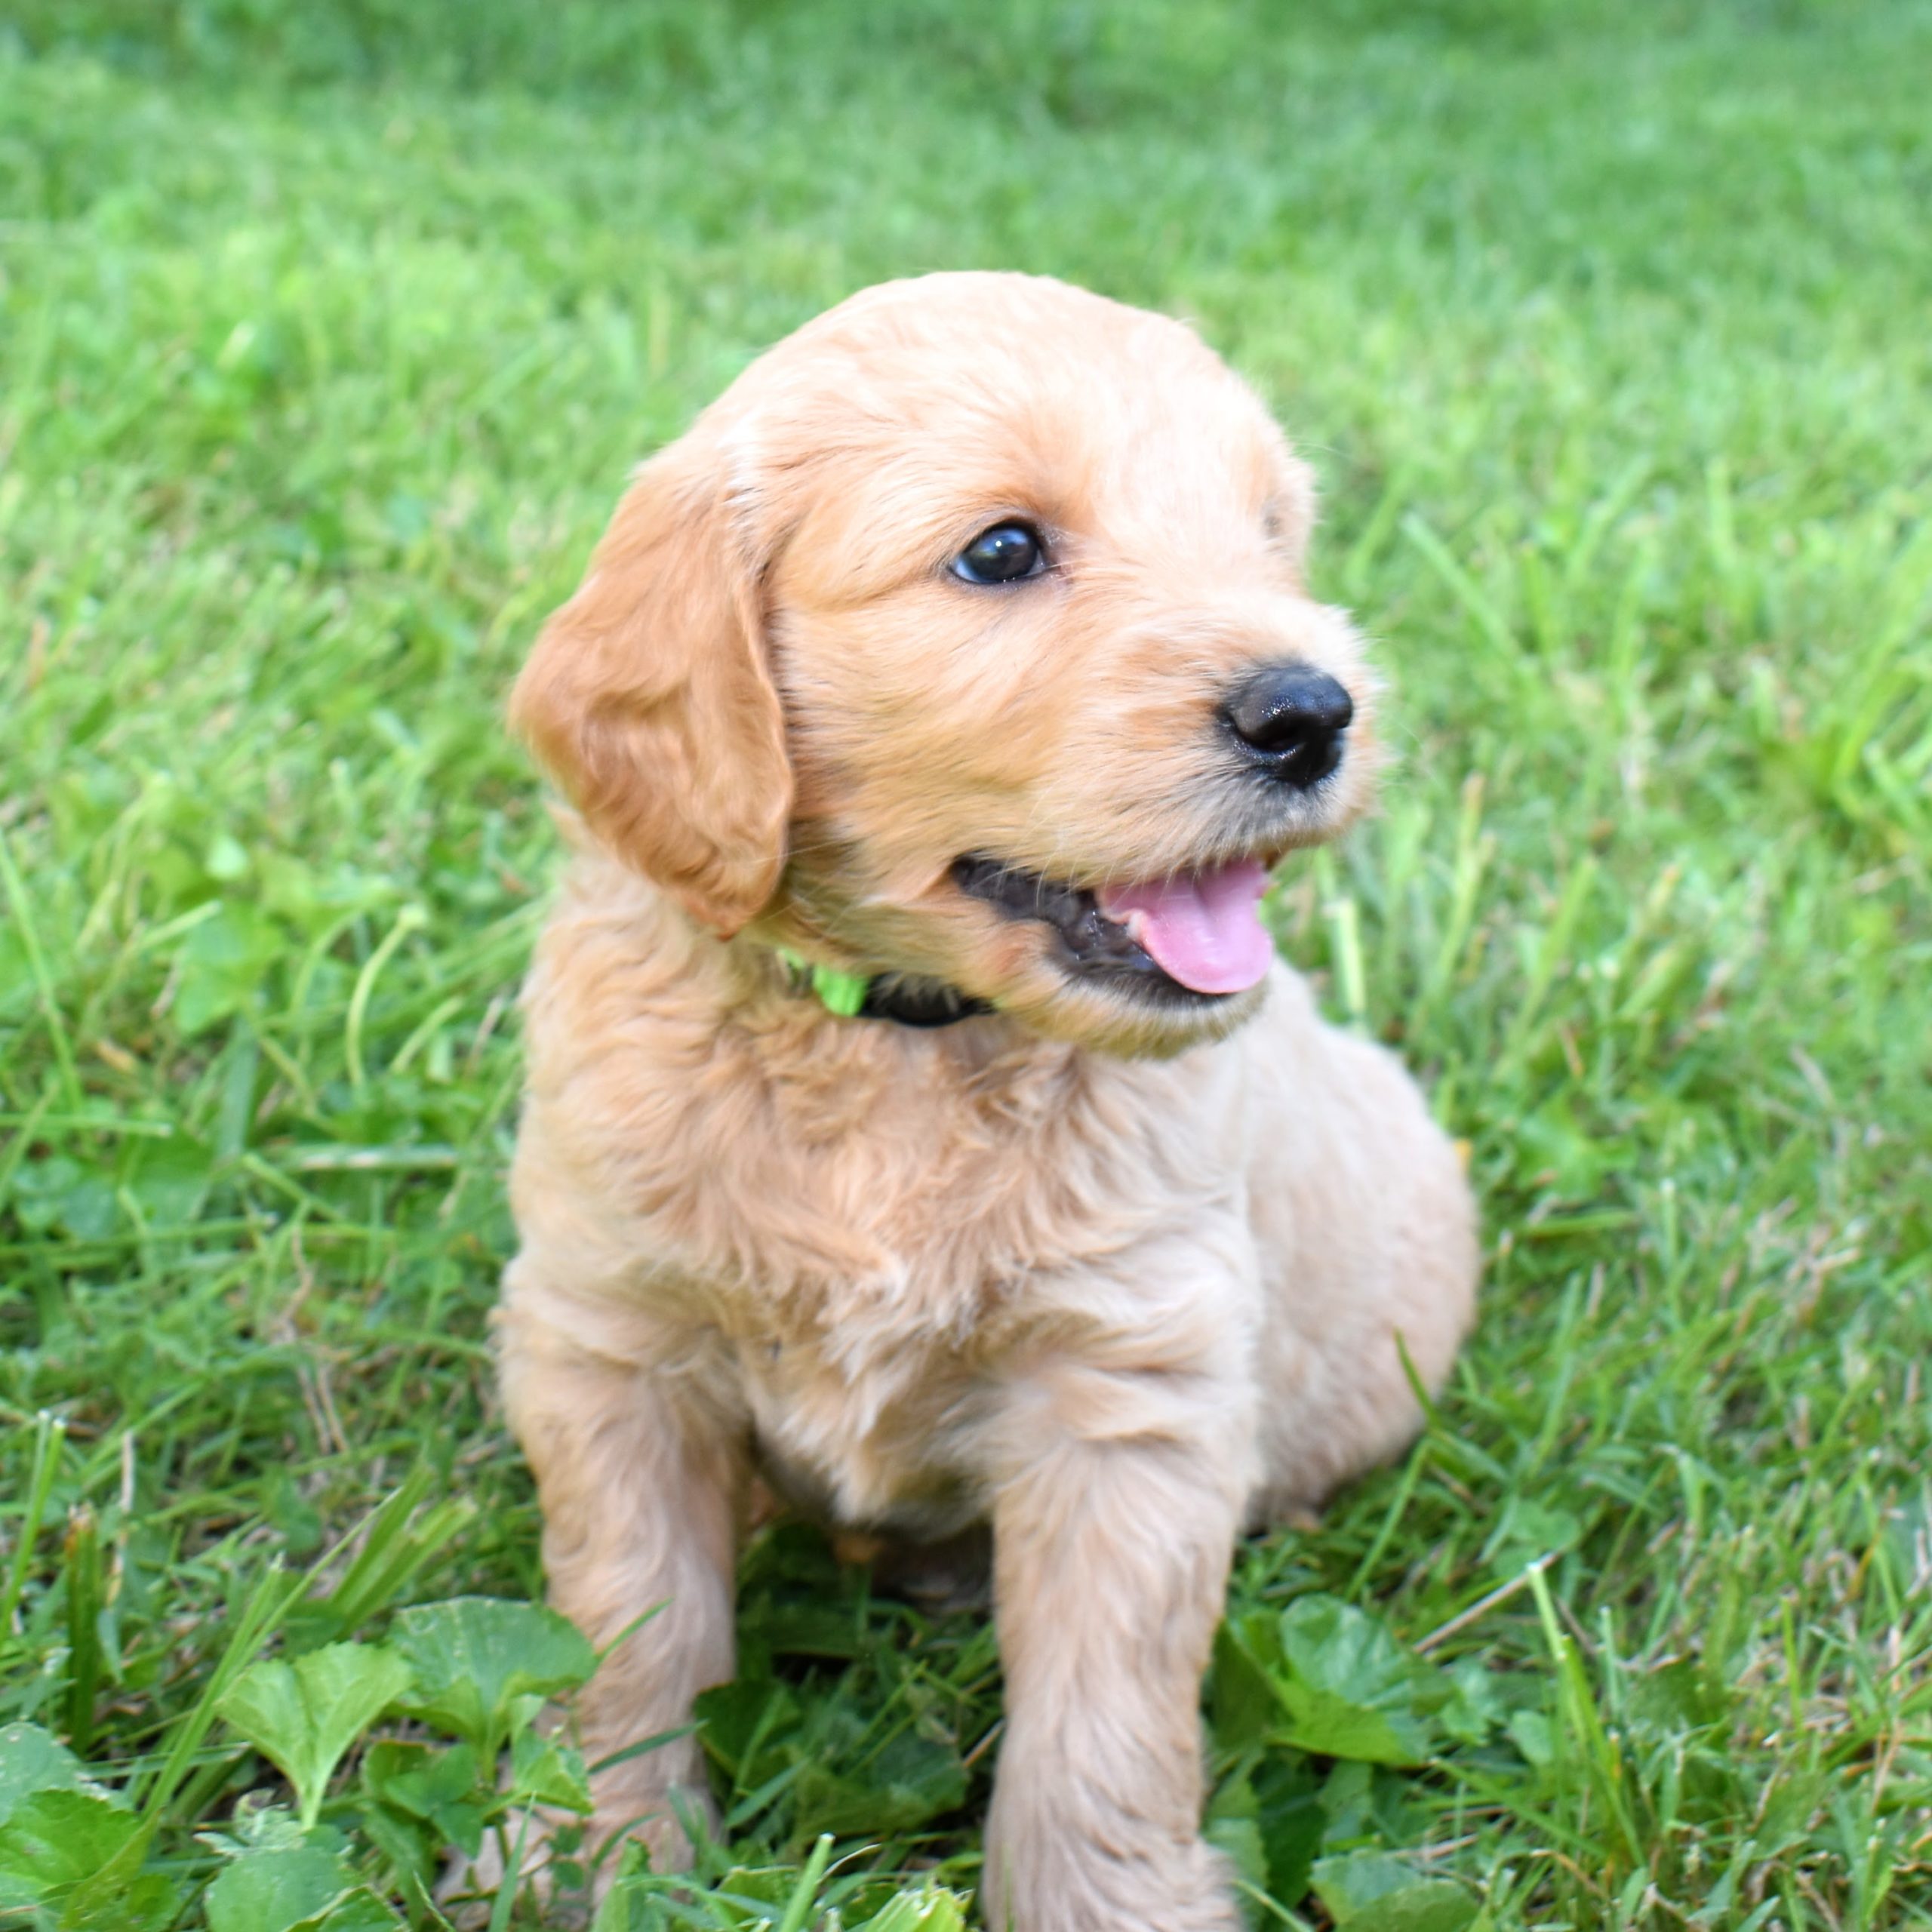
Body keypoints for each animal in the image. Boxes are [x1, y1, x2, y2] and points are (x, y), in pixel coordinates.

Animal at [498, 272, 1475, 1932]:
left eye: (1265, 534)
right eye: (1002, 551)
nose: (1314, 710)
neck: (901, 1046)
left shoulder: (1131, 1390)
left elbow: (1101, 1722)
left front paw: (1106, 1907)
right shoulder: (611, 1340)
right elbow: (629, 1626)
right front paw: (598, 1856)